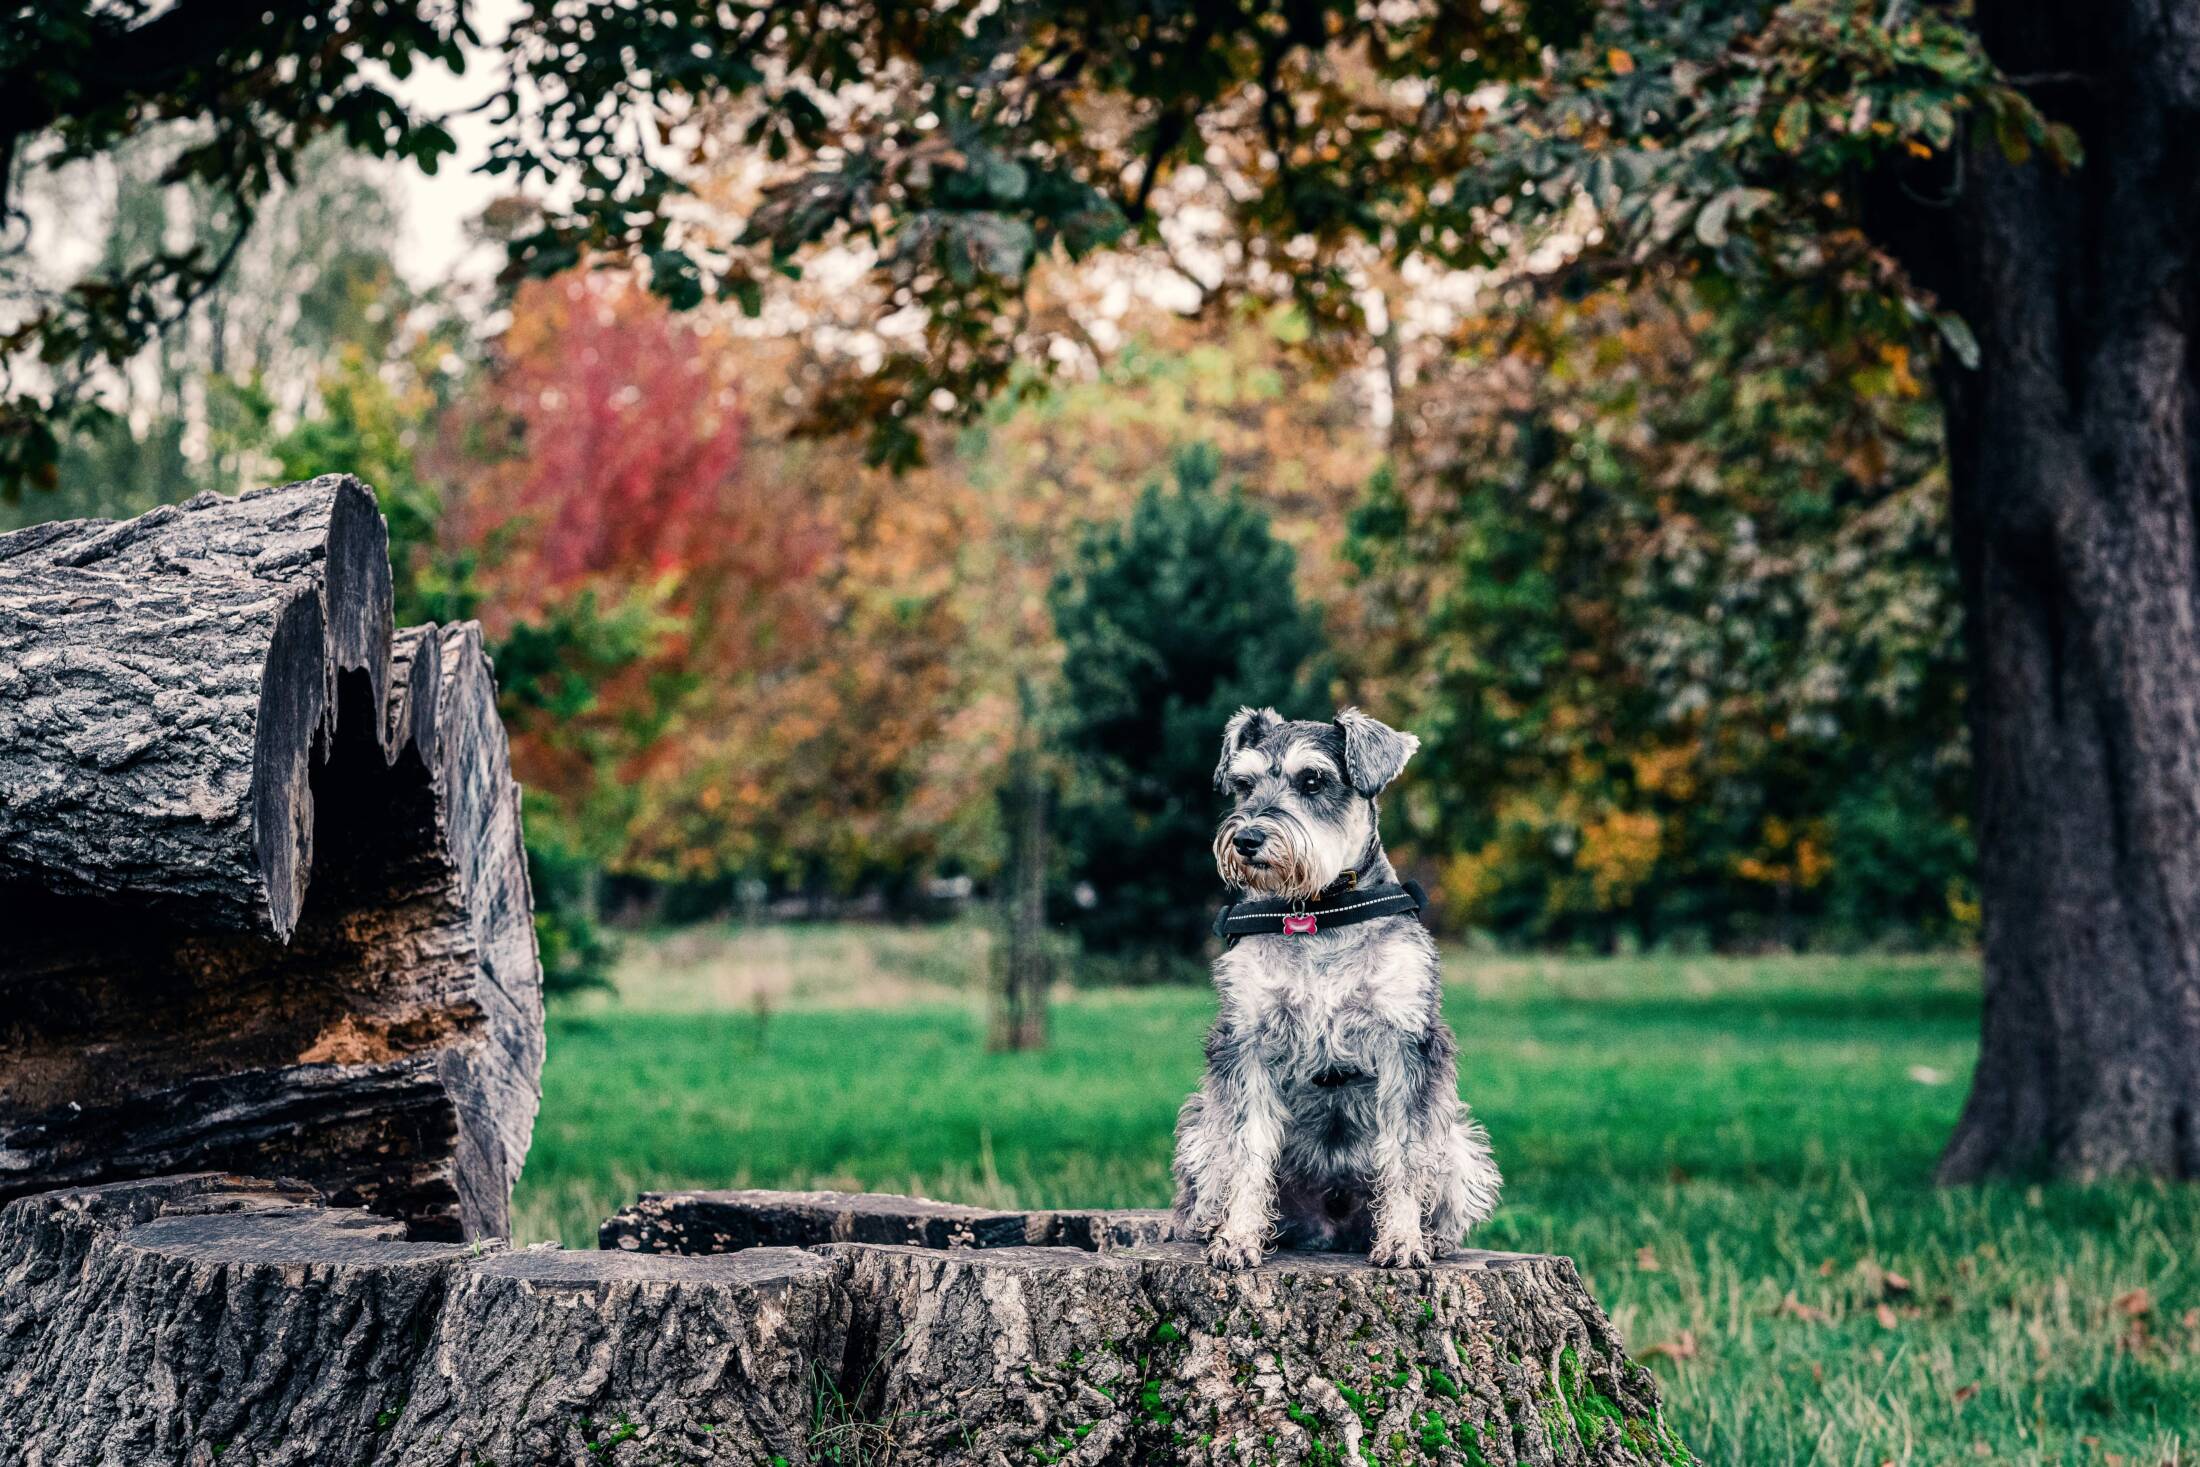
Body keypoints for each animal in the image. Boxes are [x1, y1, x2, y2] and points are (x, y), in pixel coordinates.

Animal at [1179, 703, 1504, 1266]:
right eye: (1243, 784)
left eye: (1313, 780)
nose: (1246, 840)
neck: (1317, 915)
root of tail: (1329, 1228)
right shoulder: (1247, 1041)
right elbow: (1246, 1149)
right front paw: (1238, 1237)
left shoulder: (1405, 1040)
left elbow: (1406, 1152)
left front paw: (1402, 1240)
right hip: (1200, 1124)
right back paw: (1209, 1225)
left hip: (1460, 1139)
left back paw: (1434, 1237)